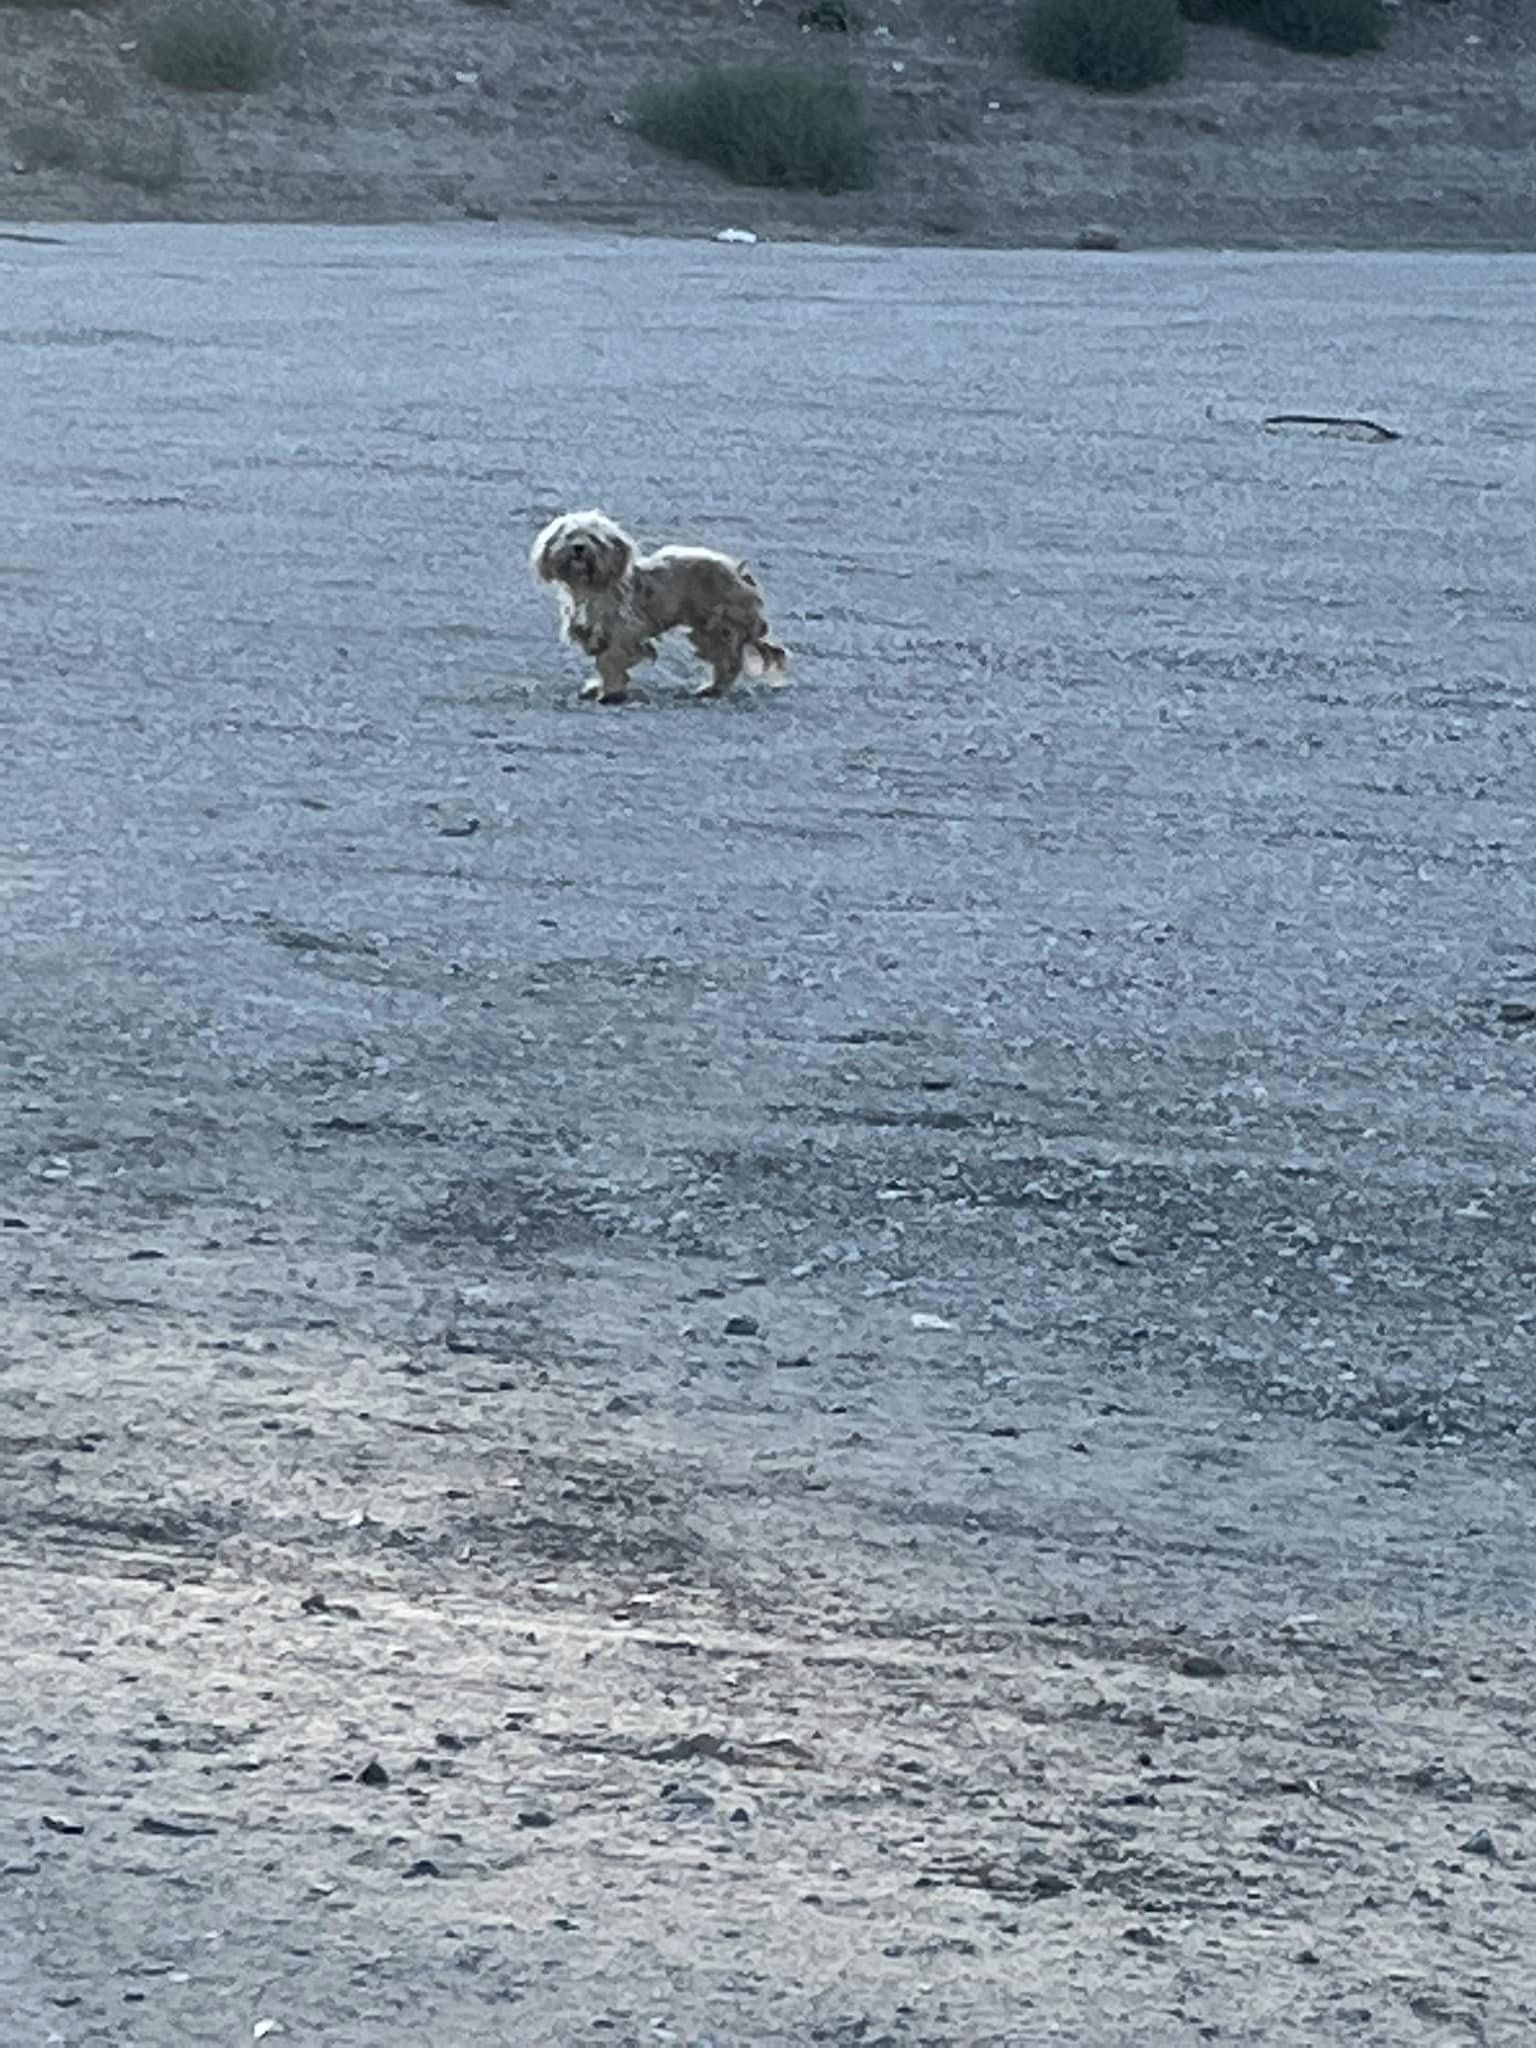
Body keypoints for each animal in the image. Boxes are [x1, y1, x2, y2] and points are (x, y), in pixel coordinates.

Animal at [532, 507, 794, 708]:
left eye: (594, 539)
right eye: (569, 536)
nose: (579, 547)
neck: (593, 587)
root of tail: (738, 572)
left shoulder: (624, 635)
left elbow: (611, 662)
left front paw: (610, 692)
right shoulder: (598, 635)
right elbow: (603, 661)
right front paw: (598, 686)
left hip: (717, 625)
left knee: (728, 661)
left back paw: (712, 689)